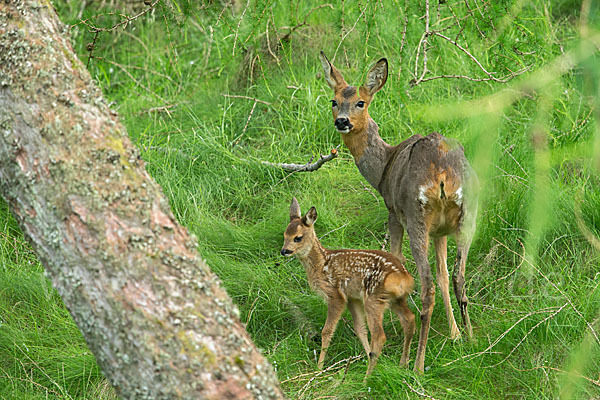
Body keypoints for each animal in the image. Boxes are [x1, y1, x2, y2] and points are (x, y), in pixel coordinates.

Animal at [318, 51, 478, 374]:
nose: (342, 121)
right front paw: (455, 334)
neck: (383, 167)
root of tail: (442, 173)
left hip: (416, 214)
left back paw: (416, 363)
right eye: (333, 100)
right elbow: (443, 274)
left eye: (360, 102)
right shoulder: (440, 231)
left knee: (427, 286)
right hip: (469, 213)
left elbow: (396, 257)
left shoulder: (392, 212)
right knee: (458, 277)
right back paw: (471, 339)